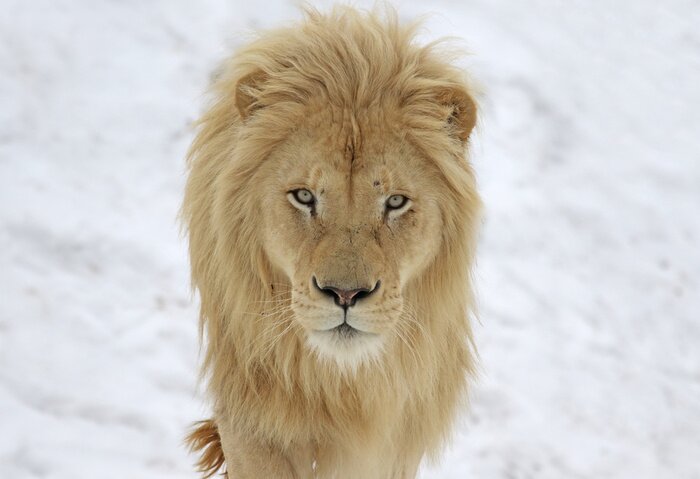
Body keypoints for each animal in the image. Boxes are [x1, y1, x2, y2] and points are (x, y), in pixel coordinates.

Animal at [181, 5, 481, 479]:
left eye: (395, 202)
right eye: (305, 196)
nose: (345, 294)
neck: (344, 380)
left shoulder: (394, 446)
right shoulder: (252, 417)